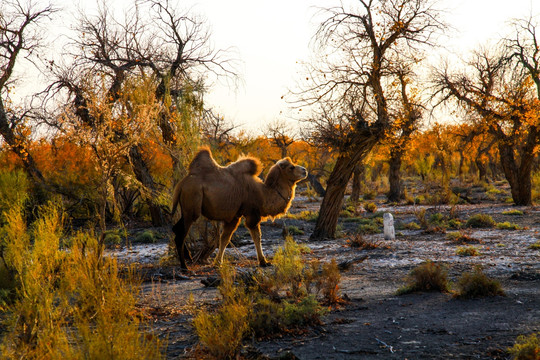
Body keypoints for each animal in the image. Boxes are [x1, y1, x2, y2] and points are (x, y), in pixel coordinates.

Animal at [173, 147, 308, 270]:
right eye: (291, 167)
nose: (305, 170)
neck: (264, 194)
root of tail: (181, 184)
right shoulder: (252, 214)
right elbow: (257, 237)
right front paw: (264, 262)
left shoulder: (234, 216)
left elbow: (224, 239)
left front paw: (217, 263)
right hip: (192, 203)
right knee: (181, 231)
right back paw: (184, 265)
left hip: (186, 207)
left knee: (176, 228)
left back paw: (187, 259)